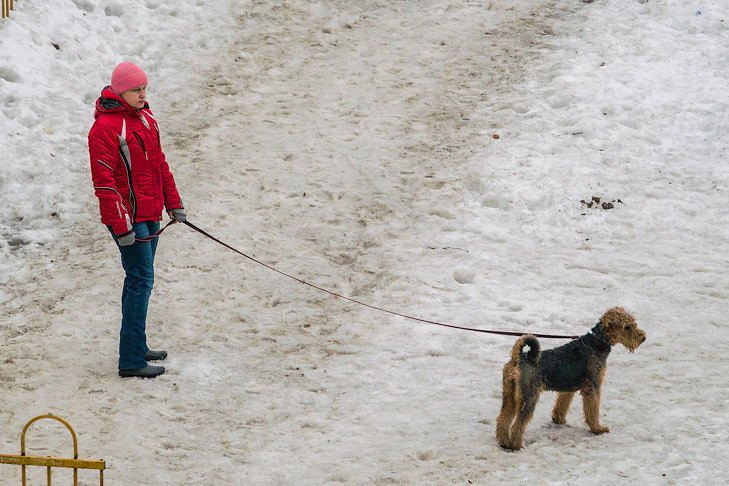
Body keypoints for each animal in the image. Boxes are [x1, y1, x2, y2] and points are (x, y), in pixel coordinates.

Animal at [494, 310, 644, 450]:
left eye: (633, 323)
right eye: (626, 327)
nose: (643, 338)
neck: (596, 342)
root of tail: (517, 359)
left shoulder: (568, 388)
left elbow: (561, 405)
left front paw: (558, 419)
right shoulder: (593, 386)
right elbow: (593, 411)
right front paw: (597, 429)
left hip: (509, 396)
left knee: (502, 419)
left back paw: (504, 442)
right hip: (529, 397)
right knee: (517, 425)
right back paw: (517, 446)